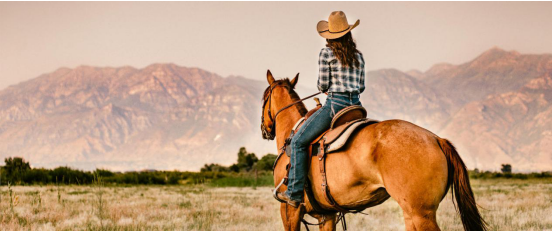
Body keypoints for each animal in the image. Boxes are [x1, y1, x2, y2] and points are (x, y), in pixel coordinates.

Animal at [260, 71, 486, 231]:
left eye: (263, 98)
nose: (264, 129)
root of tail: (437, 139)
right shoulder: (327, 215)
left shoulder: (289, 210)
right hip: (411, 214)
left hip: (421, 214)